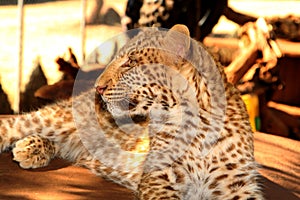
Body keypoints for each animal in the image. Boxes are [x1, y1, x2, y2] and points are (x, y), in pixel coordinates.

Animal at [0, 24, 262, 199]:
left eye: (131, 63)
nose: (98, 87)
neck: (201, 127)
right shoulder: (159, 178)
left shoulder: (237, 186)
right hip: (55, 119)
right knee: (12, 125)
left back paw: (31, 148)